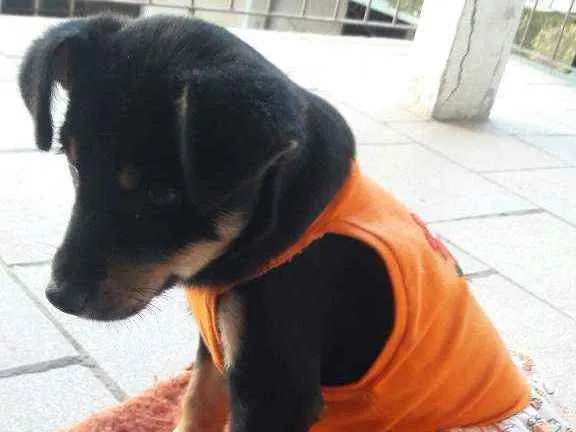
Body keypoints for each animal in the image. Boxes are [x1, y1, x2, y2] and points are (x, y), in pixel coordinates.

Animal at [20, 14, 536, 432]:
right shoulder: (218, 355)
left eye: (162, 193)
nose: (59, 297)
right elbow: (195, 406)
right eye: (75, 167)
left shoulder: (275, 388)